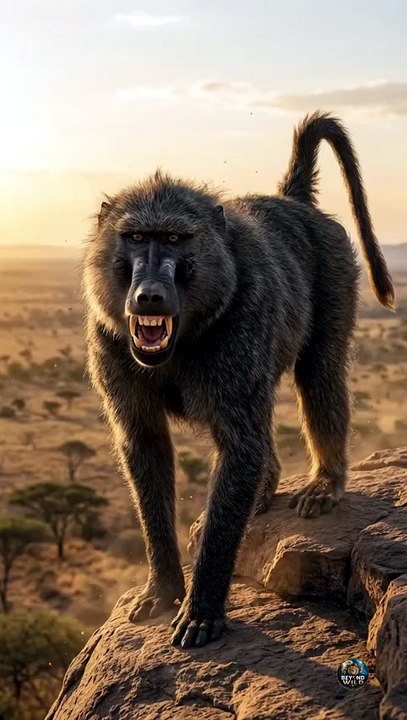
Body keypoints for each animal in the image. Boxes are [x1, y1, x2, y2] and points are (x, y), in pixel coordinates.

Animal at [82, 112, 394, 649]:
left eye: (174, 240)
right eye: (136, 237)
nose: (149, 296)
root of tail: (293, 203)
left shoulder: (240, 330)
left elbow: (239, 450)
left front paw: (201, 609)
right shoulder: (112, 343)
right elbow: (146, 446)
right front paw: (163, 590)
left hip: (336, 270)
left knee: (319, 375)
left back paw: (325, 483)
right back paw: (266, 489)